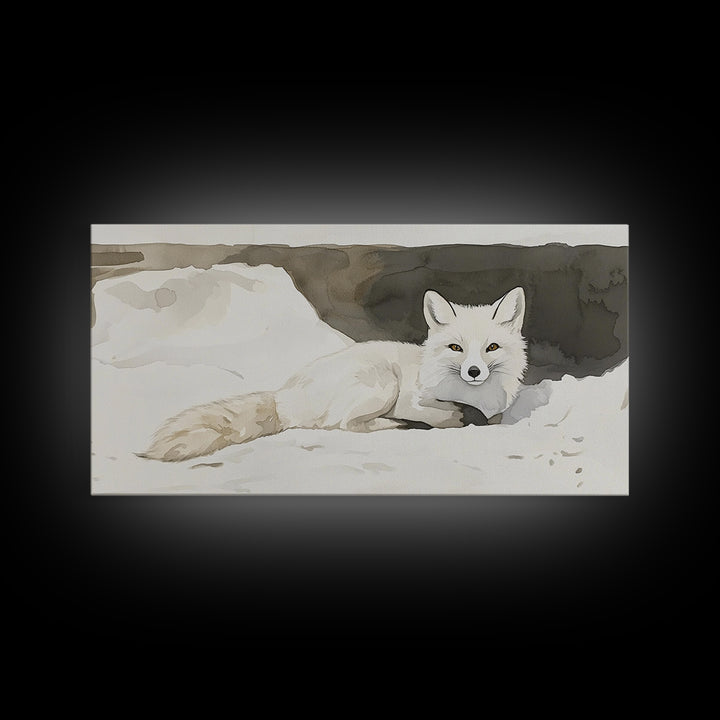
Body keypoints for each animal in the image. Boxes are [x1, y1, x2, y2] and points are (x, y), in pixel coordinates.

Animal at [138, 287, 528, 462]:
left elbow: (489, 418)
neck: (471, 396)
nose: (474, 371)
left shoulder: (496, 411)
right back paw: (398, 426)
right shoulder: (412, 399)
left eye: (492, 347)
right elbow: (447, 416)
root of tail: (284, 394)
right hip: (381, 385)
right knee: (345, 424)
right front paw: (450, 419)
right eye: (456, 348)